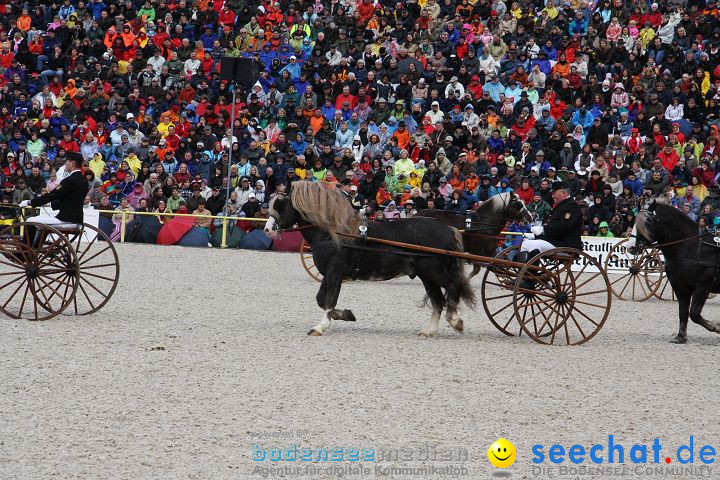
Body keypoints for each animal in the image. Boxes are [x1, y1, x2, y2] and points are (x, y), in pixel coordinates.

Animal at [262, 183, 472, 338]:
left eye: (281, 205)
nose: (267, 229)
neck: (334, 233)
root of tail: (449, 228)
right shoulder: (328, 275)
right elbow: (321, 300)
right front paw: (346, 314)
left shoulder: (336, 273)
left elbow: (329, 300)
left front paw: (320, 327)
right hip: (426, 276)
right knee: (438, 301)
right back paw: (428, 331)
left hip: (434, 272)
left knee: (452, 288)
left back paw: (455, 321)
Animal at [628, 201, 720, 344]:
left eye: (648, 221)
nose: (630, 247)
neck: (691, 248)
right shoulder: (680, 287)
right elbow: (683, 312)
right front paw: (680, 337)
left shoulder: (703, 287)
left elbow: (694, 314)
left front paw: (716, 327)